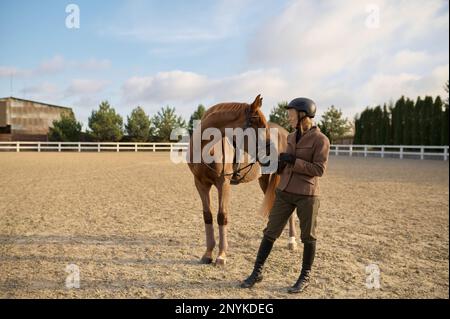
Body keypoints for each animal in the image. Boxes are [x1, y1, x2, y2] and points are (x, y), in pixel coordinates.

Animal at [185, 95, 298, 268]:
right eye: (258, 124)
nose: (274, 153)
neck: (207, 148)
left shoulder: (223, 184)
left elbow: (221, 216)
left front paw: (221, 255)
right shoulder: (200, 184)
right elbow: (208, 216)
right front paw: (208, 254)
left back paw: (292, 241)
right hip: (264, 180)